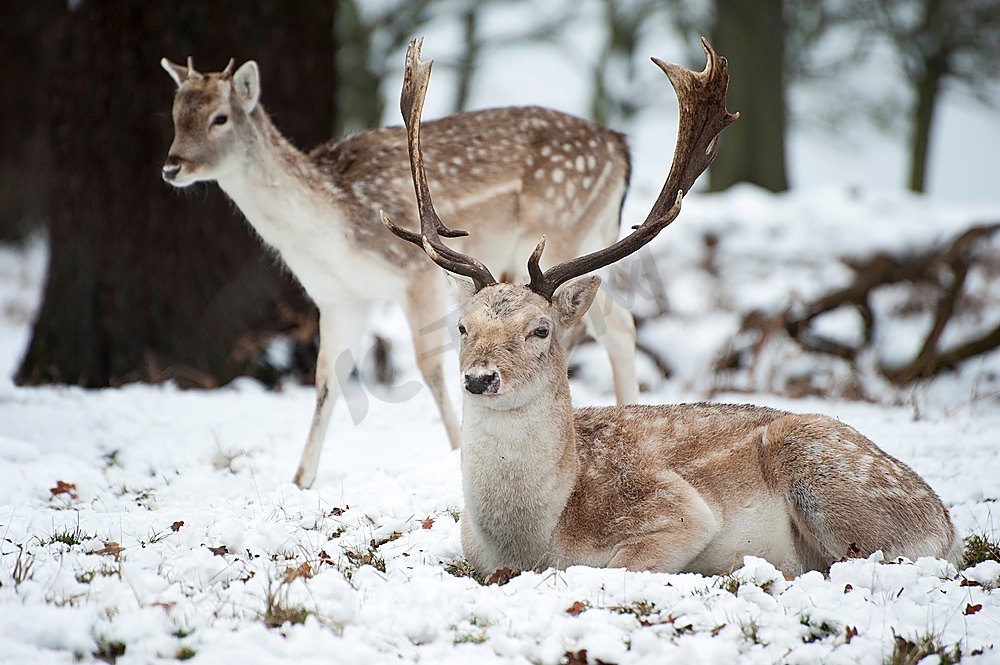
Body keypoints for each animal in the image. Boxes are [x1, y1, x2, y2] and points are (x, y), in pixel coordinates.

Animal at [160, 42, 636, 488]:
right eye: (175, 114)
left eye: (220, 118)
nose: (171, 166)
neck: (330, 229)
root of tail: (619, 145)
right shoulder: (340, 298)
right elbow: (326, 379)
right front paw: (300, 480)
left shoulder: (416, 273)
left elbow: (429, 368)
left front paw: (458, 451)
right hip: (589, 240)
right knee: (619, 323)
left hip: (560, 230)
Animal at [382, 37, 960, 576]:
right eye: (461, 327)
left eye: (540, 329)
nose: (480, 378)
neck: (531, 539)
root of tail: (947, 523)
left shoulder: (679, 510)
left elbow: (624, 562)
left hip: (827, 470)